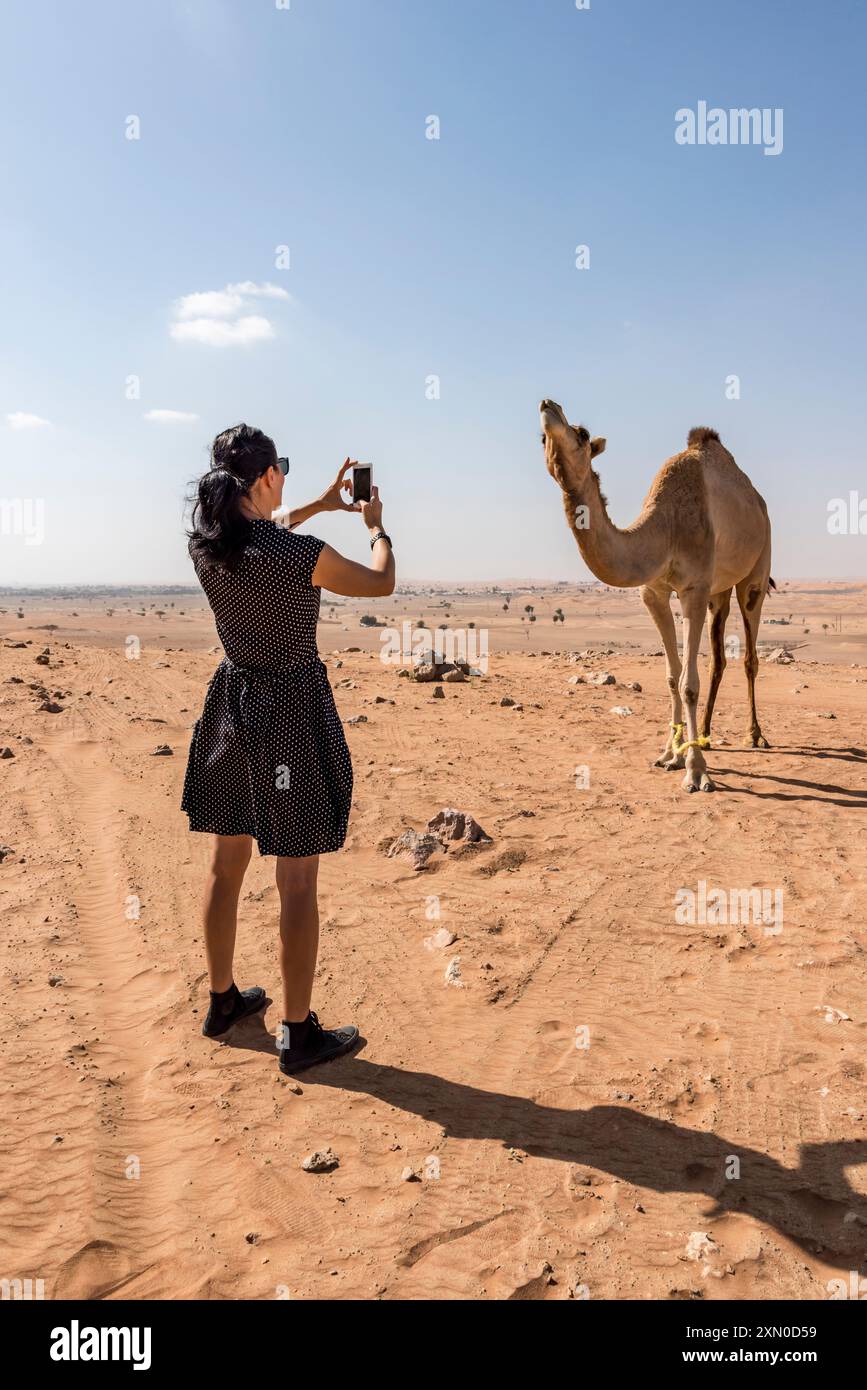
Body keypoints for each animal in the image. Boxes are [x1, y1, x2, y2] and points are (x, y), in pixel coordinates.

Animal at [541, 403, 772, 795]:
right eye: (541, 439)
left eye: (583, 433)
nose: (548, 406)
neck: (664, 529)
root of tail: (759, 502)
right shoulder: (654, 593)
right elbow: (671, 675)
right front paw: (670, 753)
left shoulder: (693, 589)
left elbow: (689, 683)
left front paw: (696, 771)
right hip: (719, 591)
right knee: (718, 658)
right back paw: (705, 732)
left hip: (755, 571)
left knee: (750, 656)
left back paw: (754, 735)